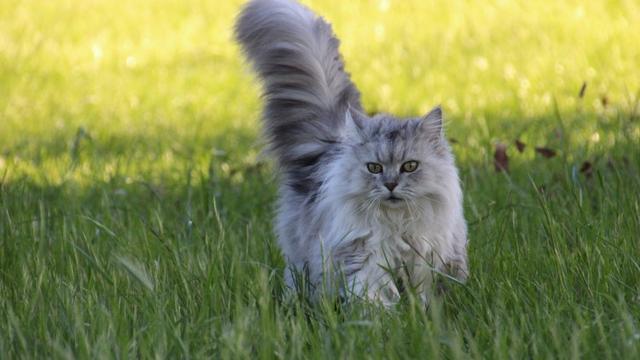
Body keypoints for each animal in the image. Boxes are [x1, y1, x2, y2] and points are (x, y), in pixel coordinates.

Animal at [232, 0, 468, 306]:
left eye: (410, 166)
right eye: (374, 168)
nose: (391, 185)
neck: (397, 224)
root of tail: (331, 144)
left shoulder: (430, 258)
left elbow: (427, 297)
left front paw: (423, 313)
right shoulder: (365, 258)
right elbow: (374, 296)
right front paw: (383, 317)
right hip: (303, 257)